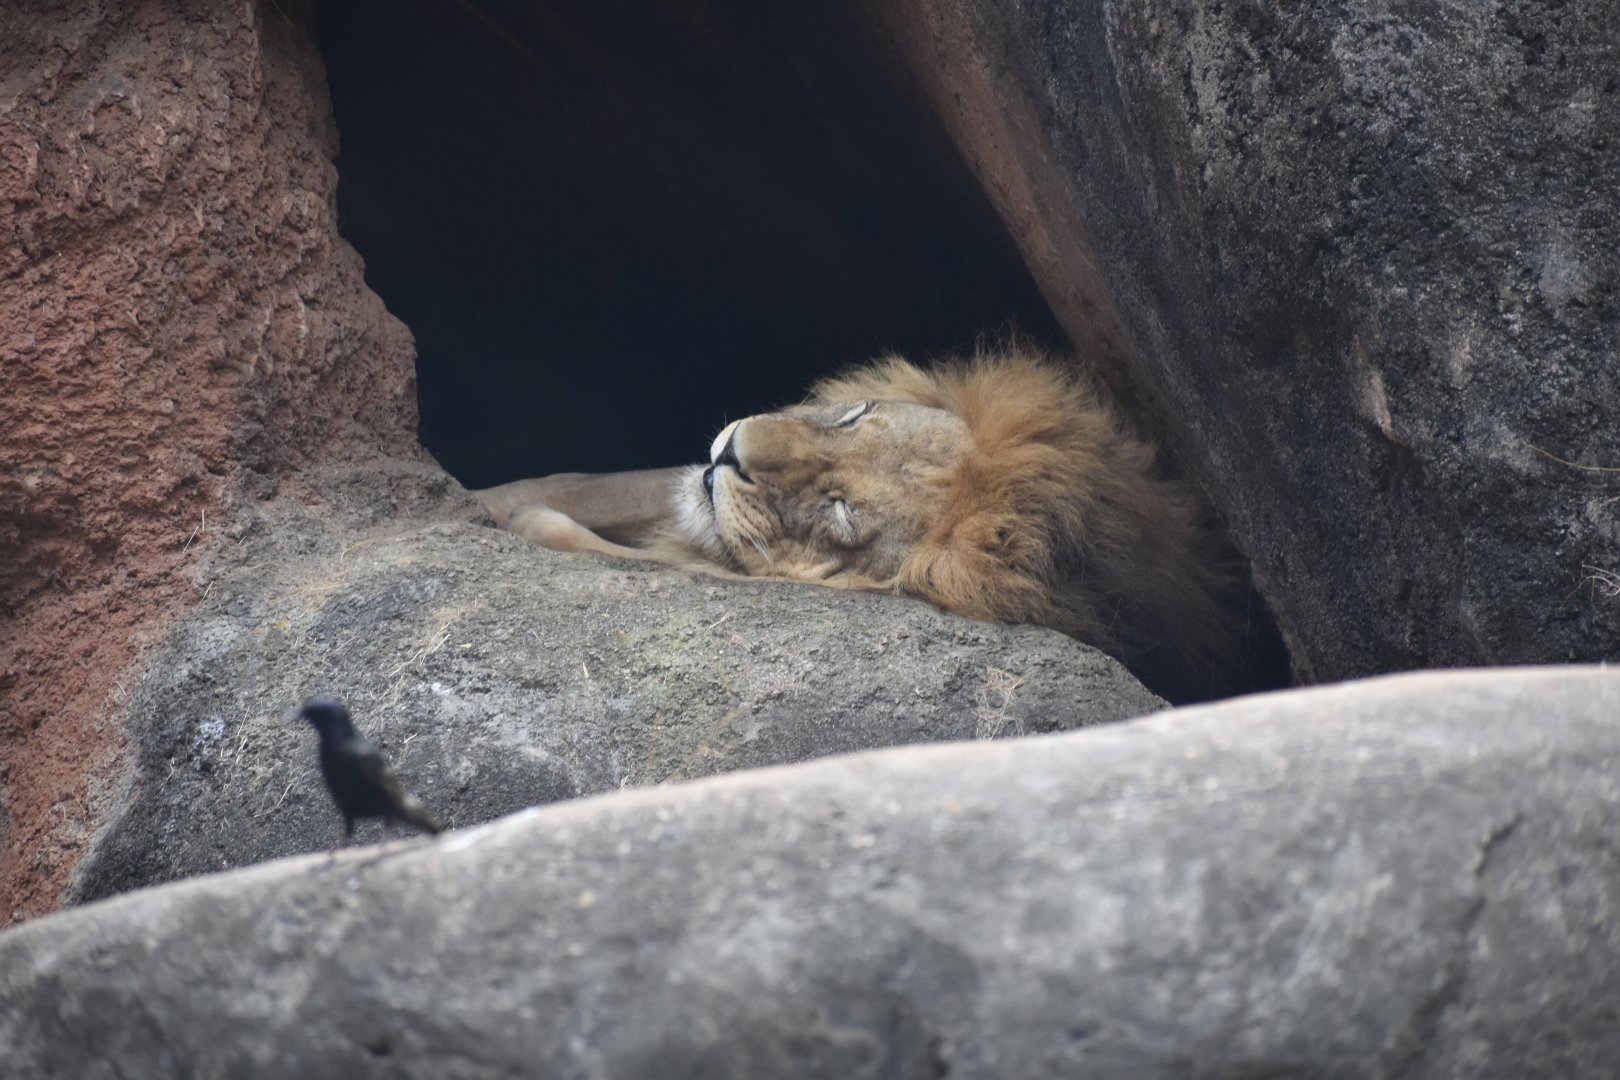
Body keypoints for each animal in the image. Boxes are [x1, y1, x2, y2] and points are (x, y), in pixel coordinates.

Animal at [474, 343, 1236, 690]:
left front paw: (510, 519)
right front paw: (482, 496)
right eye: (853, 415)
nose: (733, 454)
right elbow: (584, 483)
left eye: (838, 510)